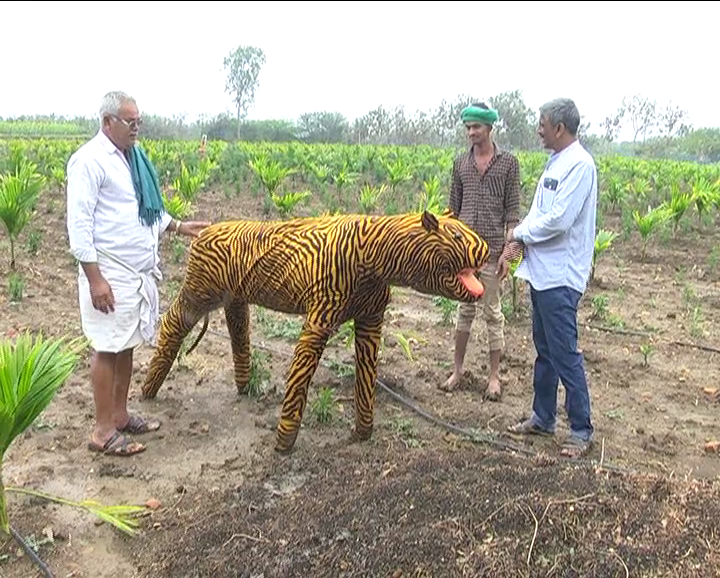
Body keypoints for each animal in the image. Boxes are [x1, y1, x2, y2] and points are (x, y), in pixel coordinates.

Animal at [141, 209, 490, 452]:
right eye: (457, 237)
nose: (486, 249)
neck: (372, 255)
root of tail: (205, 230)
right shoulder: (319, 319)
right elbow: (300, 377)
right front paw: (284, 442)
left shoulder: (370, 319)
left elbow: (367, 377)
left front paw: (363, 430)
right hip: (198, 294)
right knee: (171, 323)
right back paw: (148, 390)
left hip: (234, 298)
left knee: (238, 331)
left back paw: (244, 387)